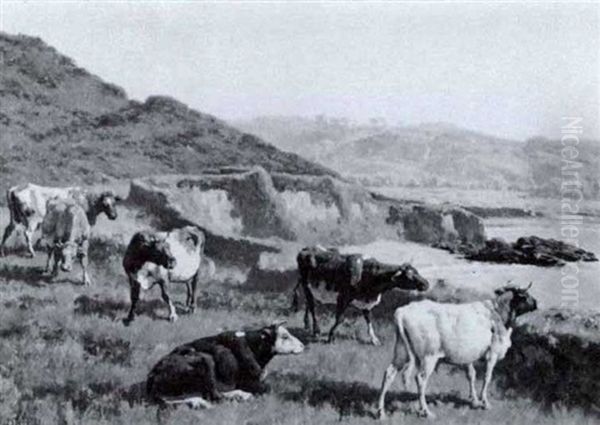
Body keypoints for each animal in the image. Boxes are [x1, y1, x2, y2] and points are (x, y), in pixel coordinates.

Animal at [146, 322, 304, 410]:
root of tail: (154, 373)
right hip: (205, 361)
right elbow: (267, 388)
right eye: (284, 336)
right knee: (215, 396)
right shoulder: (251, 382)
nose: (302, 345)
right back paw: (240, 396)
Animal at [294, 245, 426, 344]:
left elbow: (369, 319)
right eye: (409, 276)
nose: (426, 283)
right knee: (312, 306)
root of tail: (308, 248)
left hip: (312, 288)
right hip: (306, 284)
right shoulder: (343, 297)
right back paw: (316, 331)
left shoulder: (365, 302)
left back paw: (307, 325)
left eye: (417, 271)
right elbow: (340, 319)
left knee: (308, 303)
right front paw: (331, 337)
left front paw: (374, 339)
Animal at [378, 282, 536, 418]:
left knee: (389, 373)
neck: (497, 312)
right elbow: (487, 377)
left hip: (401, 352)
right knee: (420, 379)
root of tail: (402, 311)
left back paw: (381, 412)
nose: (536, 303)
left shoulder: (468, 356)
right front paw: (484, 402)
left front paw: (474, 400)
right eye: (526, 296)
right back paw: (426, 411)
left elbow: (472, 375)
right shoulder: (492, 354)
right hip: (429, 356)